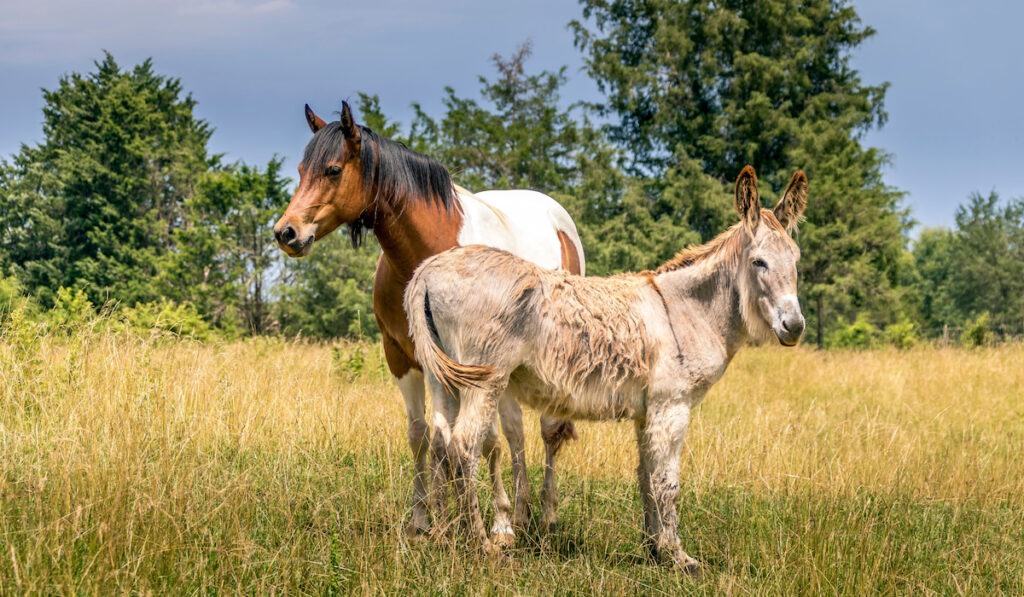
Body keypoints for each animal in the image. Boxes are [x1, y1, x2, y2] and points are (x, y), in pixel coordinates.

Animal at [274, 100, 585, 544]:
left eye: (332, 169)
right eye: (301, 170)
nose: (286, 232)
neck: (426, 255)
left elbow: (482, 440)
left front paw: (495, 522)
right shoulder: (405, 358)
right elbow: (427, 436)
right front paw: (429, 519)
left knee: (546, 430)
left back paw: (544, 514)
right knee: (514, 430)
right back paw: (522, 513)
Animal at [405, 165, 806, 573]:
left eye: (796, 260)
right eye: (759, 262)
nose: (794, 327)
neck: (688, 309)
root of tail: (428, 271)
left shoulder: (647, 412)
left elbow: (646, 478)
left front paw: (653, 548)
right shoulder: (672, 406)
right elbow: (668, 483)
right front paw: (679, 557)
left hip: (442, 377)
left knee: (440, 440)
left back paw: (445, 536)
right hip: (484, 380)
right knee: (463, 445)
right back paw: (480, 544)